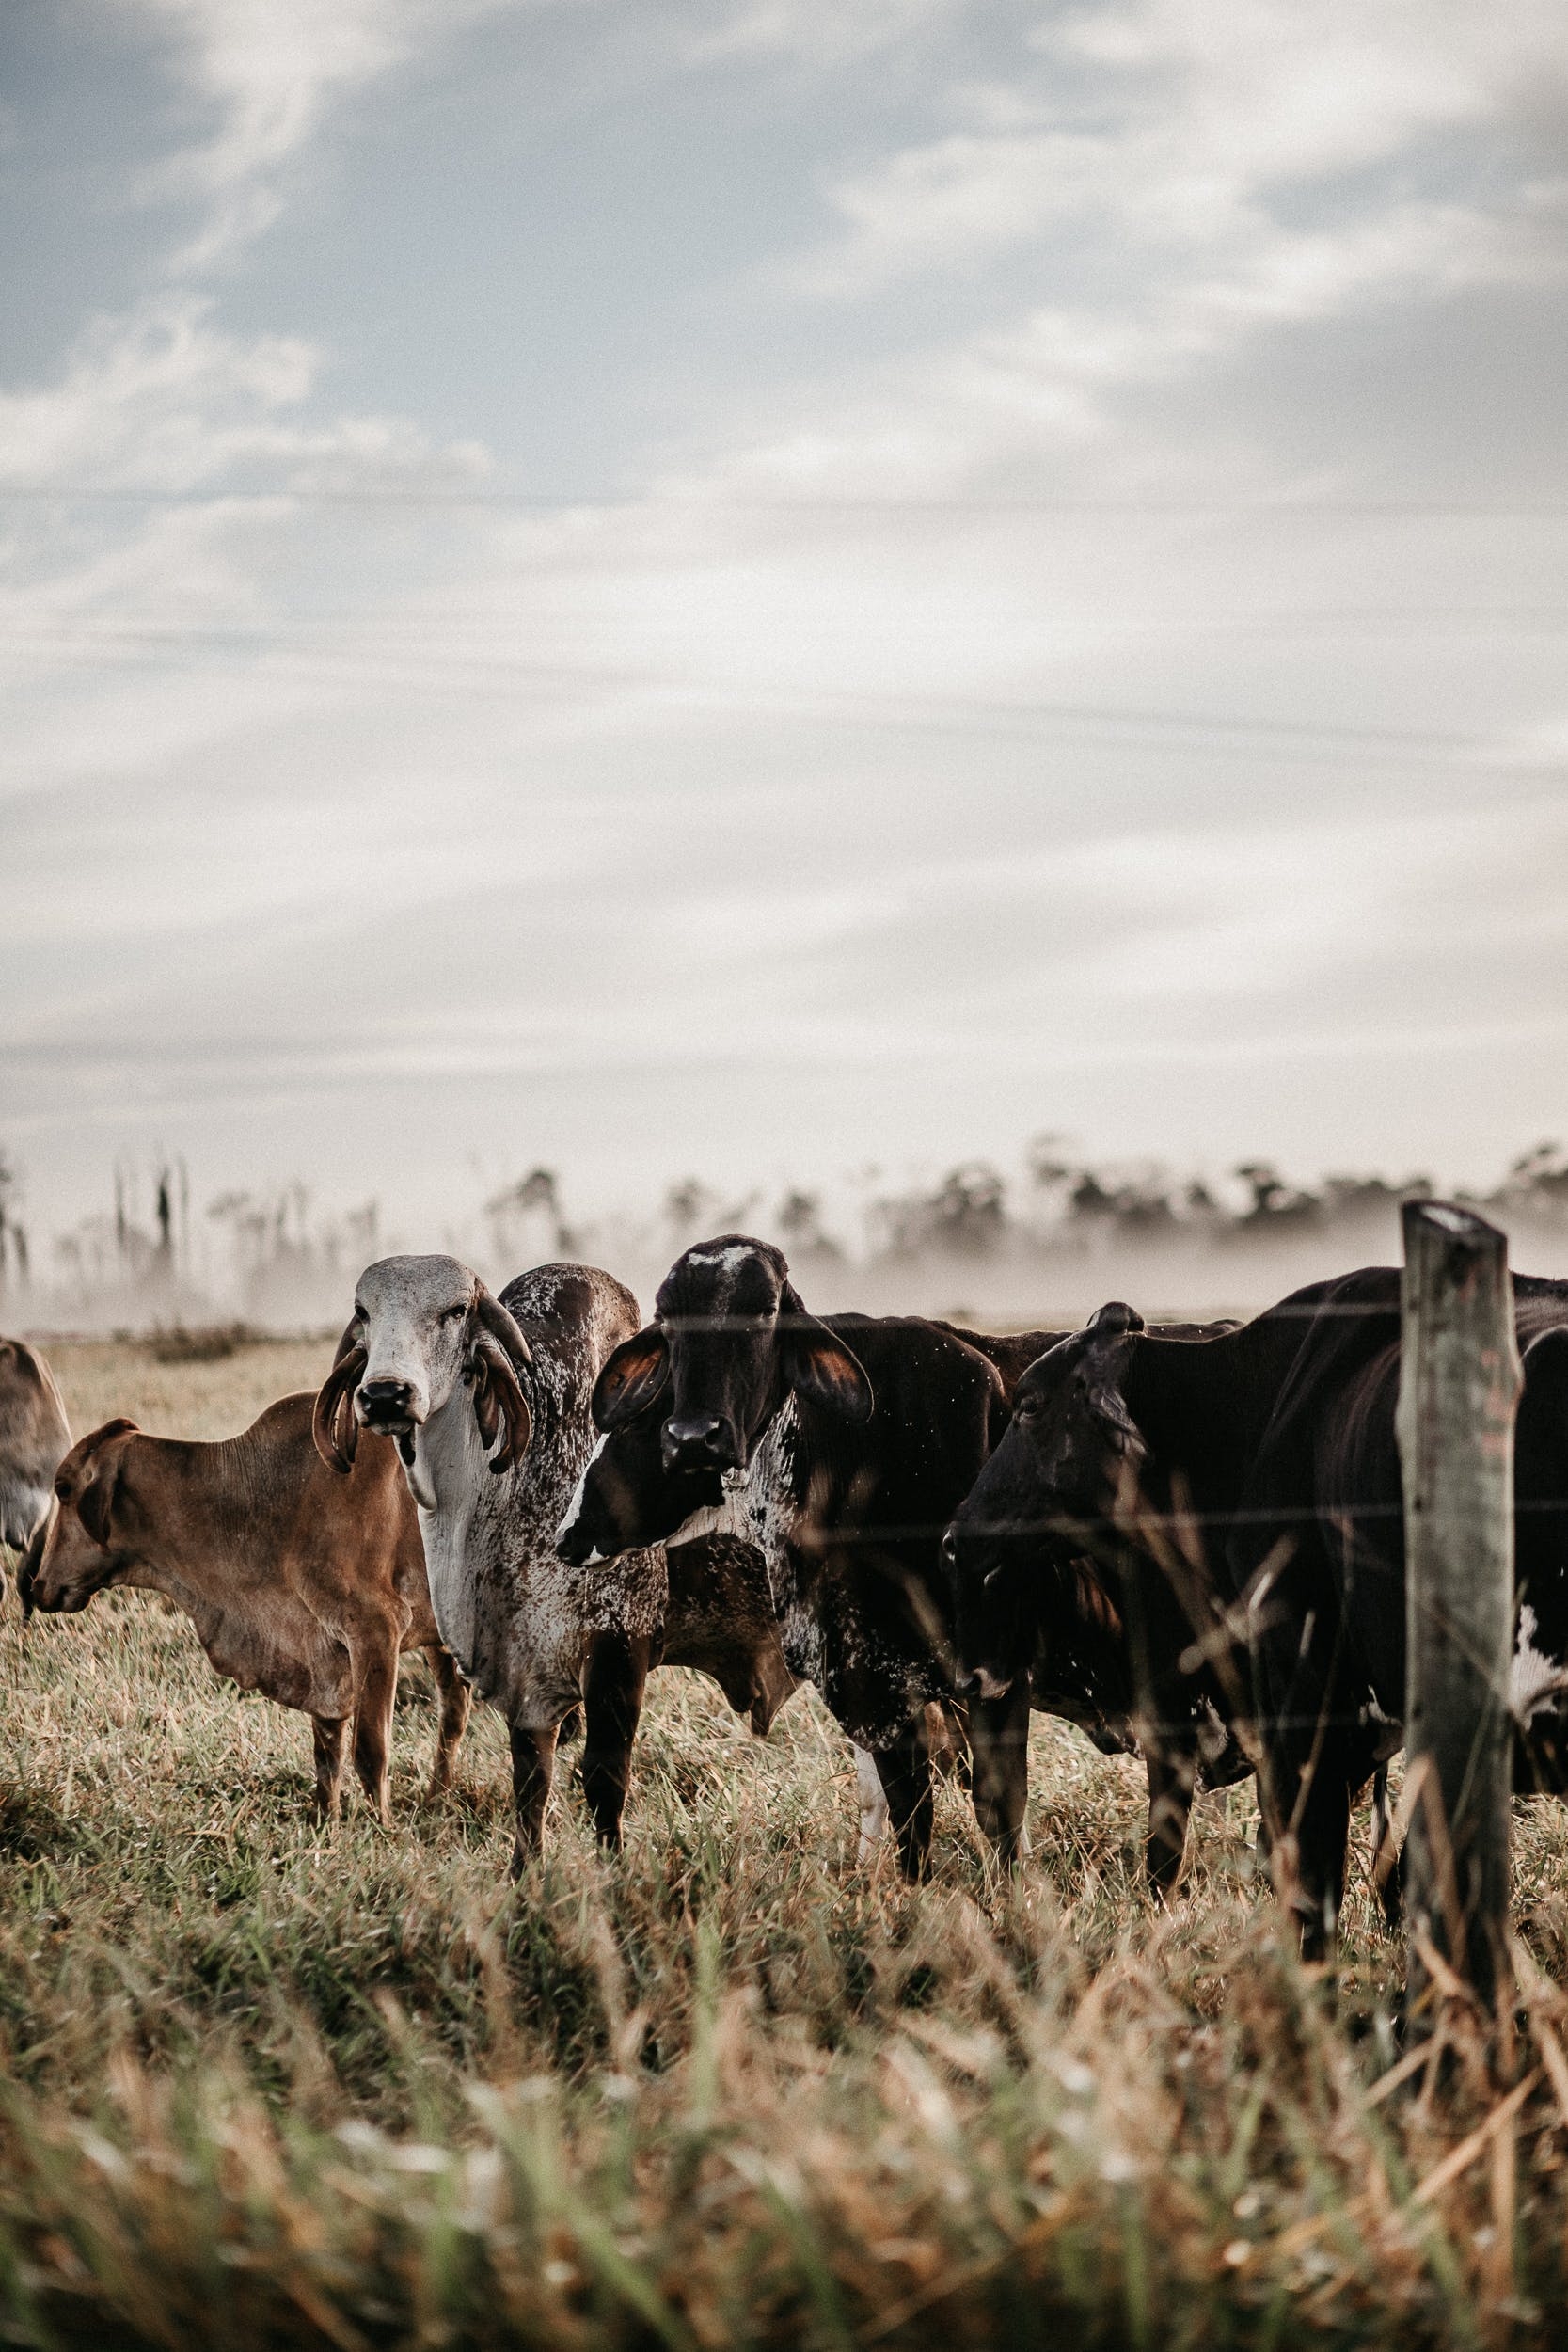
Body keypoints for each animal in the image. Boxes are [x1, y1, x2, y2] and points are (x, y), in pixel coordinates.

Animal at [24, 1383, 469, 1825]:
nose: (39, 1585)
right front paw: (327, 1823)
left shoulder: (376, 1628)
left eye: (63, 1488)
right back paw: (438, 1800)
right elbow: (327, 1756)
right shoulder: (323, 1654)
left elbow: (370, 1751)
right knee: (453, 1715)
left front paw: (383, 1830)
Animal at [552, 1232, 1020, 1872]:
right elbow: (901, 1804)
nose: (692, 1437)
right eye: (668, 1319)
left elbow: (981, 1812)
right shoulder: (869, 1677)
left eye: (766, 1312)